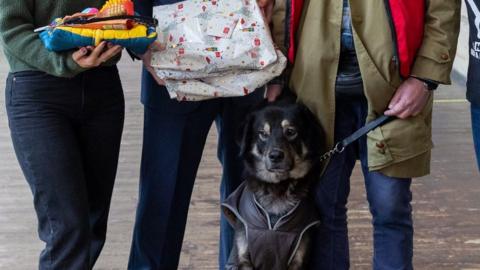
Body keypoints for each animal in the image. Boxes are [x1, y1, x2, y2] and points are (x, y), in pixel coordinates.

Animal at [223, 99, 324, 270]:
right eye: (263, 134)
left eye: (290, 131)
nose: (276, 156)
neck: (277, 188)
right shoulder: (243, 255)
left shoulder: (298, 258)